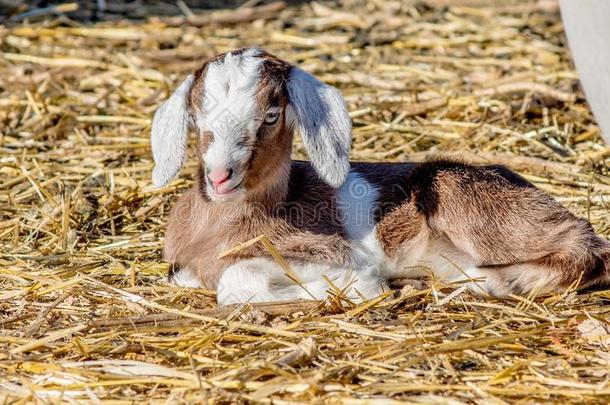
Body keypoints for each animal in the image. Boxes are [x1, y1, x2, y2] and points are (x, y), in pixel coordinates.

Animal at [148, 47, 608, 304]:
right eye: (196, 117)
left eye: (272, 115)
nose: (220, 176)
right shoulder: (186, 268)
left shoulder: (330, 251)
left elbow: (237, 282)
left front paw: (349, 290)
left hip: (464, 201)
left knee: (585, 247)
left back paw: (491, 282)